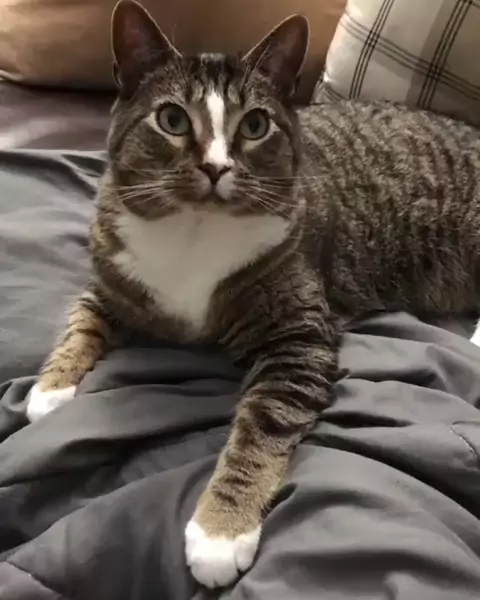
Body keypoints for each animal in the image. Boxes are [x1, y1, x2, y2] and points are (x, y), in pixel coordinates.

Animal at [26, 0, 480, 589]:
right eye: (173, 120)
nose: (216, 167)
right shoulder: (112, 278)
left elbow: (261, 429)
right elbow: (81, 322)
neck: (194, 233)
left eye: (256, 125)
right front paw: (50, 388)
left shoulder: (299, 337)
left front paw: (219, 531)